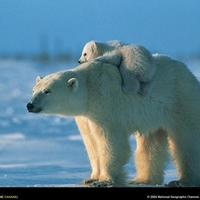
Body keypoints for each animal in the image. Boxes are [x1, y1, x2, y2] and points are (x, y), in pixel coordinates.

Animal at [27, 55, 200, 188]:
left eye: (47, 91)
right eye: (34, 90)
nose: (30, 105)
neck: (88, 89)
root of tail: (189, 73)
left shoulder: (105, 103)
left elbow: (110, 140)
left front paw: (104, 181)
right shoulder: (86, 117)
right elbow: (91, 142)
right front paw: (90, 178)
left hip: (180, 100)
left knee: (186, 140)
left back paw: (183, 181)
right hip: (153, 115)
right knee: (150, 143)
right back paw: (142, 180)